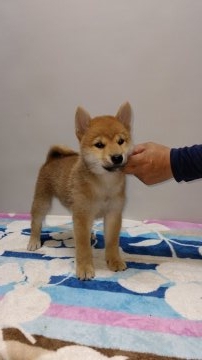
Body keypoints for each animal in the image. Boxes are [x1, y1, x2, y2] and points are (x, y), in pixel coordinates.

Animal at [28, 102, 133, 280]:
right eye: (99, 145)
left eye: (121, 141)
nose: (118, 157)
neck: (104, 184)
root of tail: (52, 159)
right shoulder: (82, 215)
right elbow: (83, 247)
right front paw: (84, 268)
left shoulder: (113, 213)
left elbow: (112, 242)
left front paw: (114, 261)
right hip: (42, 201)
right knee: (36, 221)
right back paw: (34, 240)